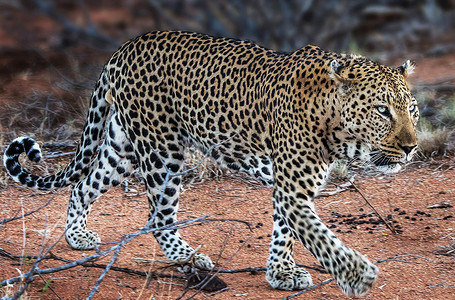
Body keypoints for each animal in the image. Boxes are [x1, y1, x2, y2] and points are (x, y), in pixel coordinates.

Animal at [4, 30, 420, 296]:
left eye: (412, 109)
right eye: (382, 110)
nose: (412, 147)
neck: (332, 124)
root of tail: (125, 47)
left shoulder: (289, 187)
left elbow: (285, 233)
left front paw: (280, 274)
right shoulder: (291, 190)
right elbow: (319, 237)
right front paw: (356, 275)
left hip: (123, 146)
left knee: (84, 183)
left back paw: (77, 236)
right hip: (162, 151)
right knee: (157, 216)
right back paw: (188, 257)